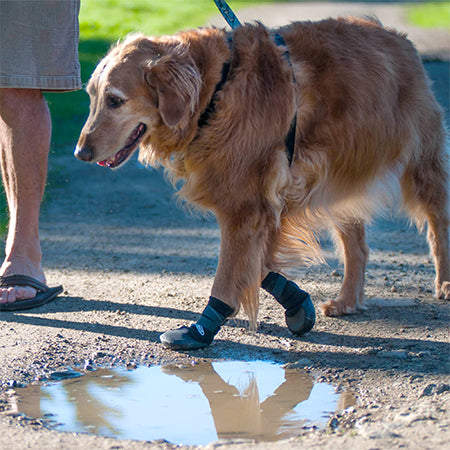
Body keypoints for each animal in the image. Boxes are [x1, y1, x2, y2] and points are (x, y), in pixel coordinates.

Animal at [75, 16, 448, 348]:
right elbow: (257, 261)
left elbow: (230, 272)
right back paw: (347, 300)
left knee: (437, 222)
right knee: (357, 247)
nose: (80, 152)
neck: (216, 89)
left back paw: (444, 282)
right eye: (91, 97)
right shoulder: (262, 199)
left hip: (420, 165)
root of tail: (398, 38)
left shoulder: (247, 202)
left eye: (116, 100)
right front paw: (296, 301)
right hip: (340, 178)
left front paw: (201, 330)